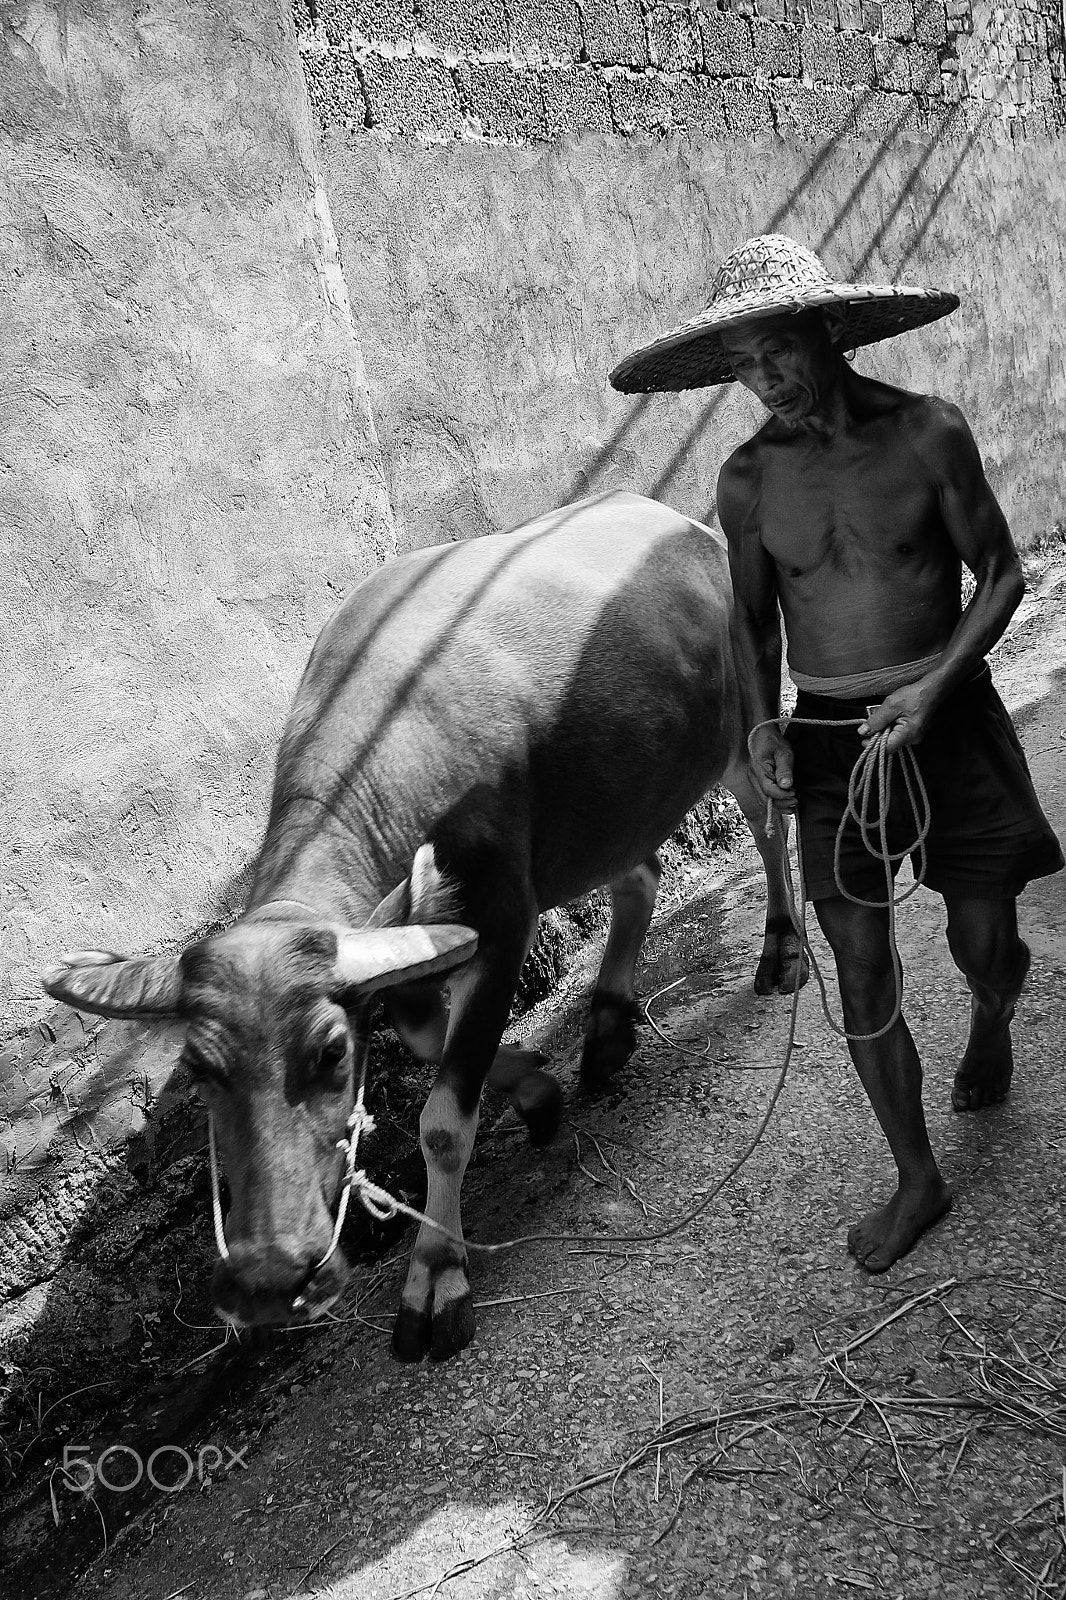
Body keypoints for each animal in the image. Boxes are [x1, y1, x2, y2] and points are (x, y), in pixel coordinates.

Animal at [45, 489, 800, 1363]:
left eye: (331, 1054)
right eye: (199, 1070)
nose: (268, 1280)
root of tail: (685, 524)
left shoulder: (502, 923)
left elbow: (443, 1119)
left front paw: (436, 1272)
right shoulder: (414, 939)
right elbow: (423, 1033)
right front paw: (534, 1086)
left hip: (743, 721)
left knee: (767, 819)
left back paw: (781, 950)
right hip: (611, 798)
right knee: (637, 876)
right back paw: (609, 1025)